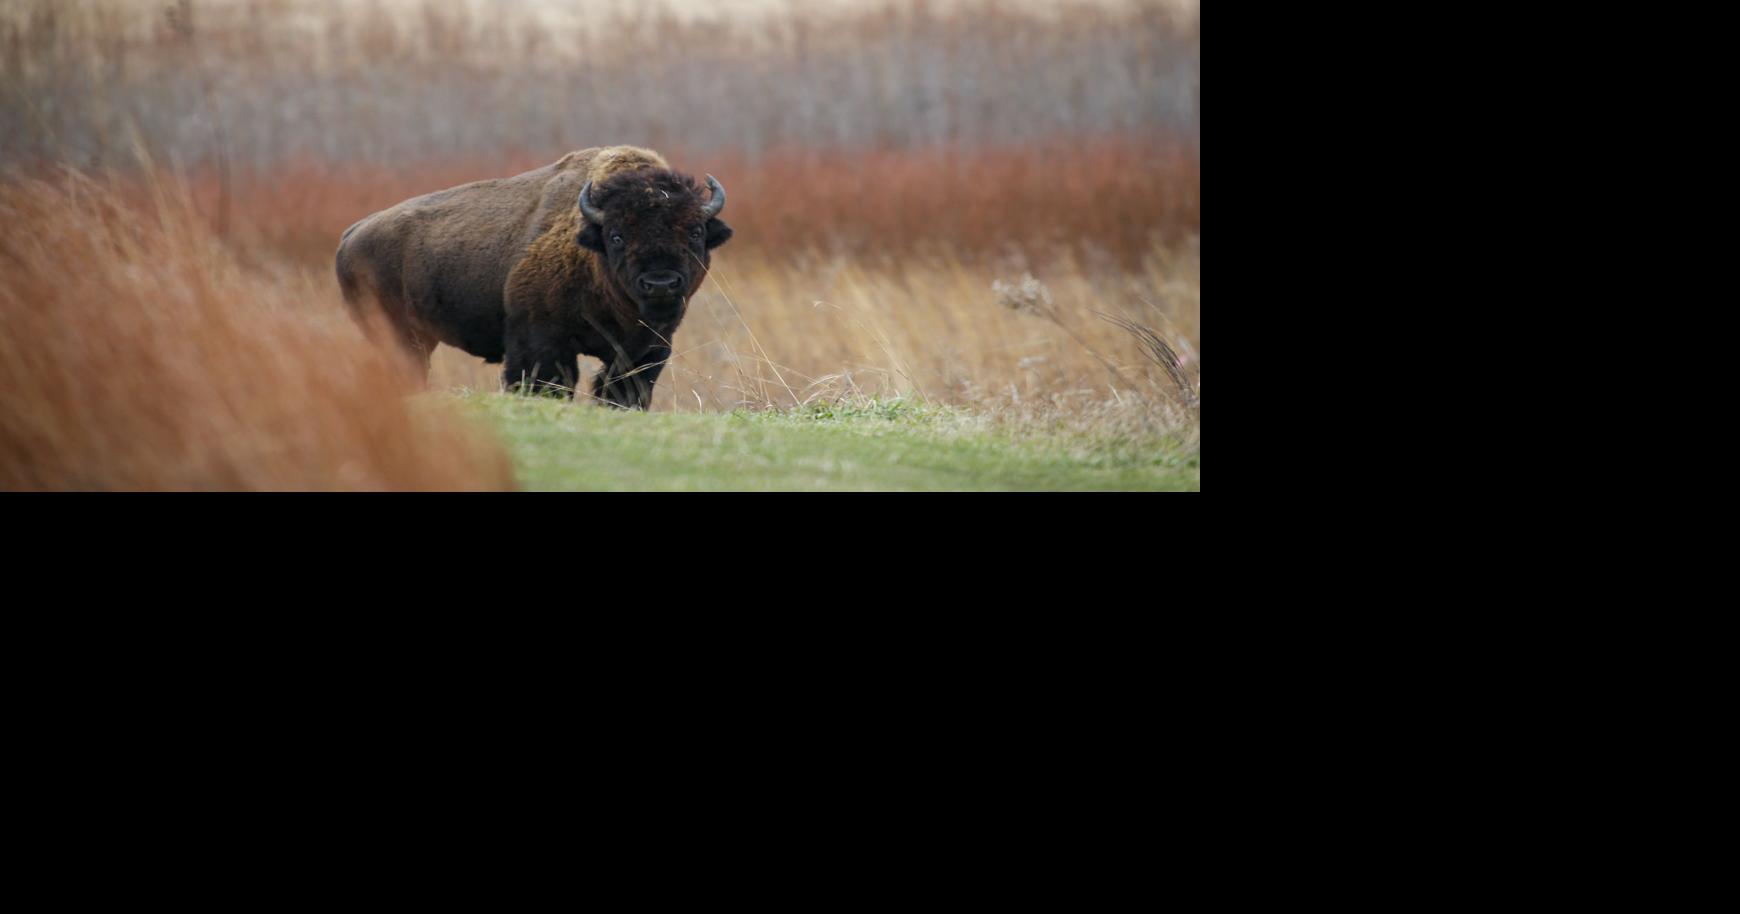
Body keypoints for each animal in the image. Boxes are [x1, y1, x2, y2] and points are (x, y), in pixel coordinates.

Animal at [334, 146, 732, 408]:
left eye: (695, 231)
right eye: (616, 236)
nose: (660, 283)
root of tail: (351, 235)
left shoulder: (647, 348)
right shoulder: (540, 341)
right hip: (397, 335)